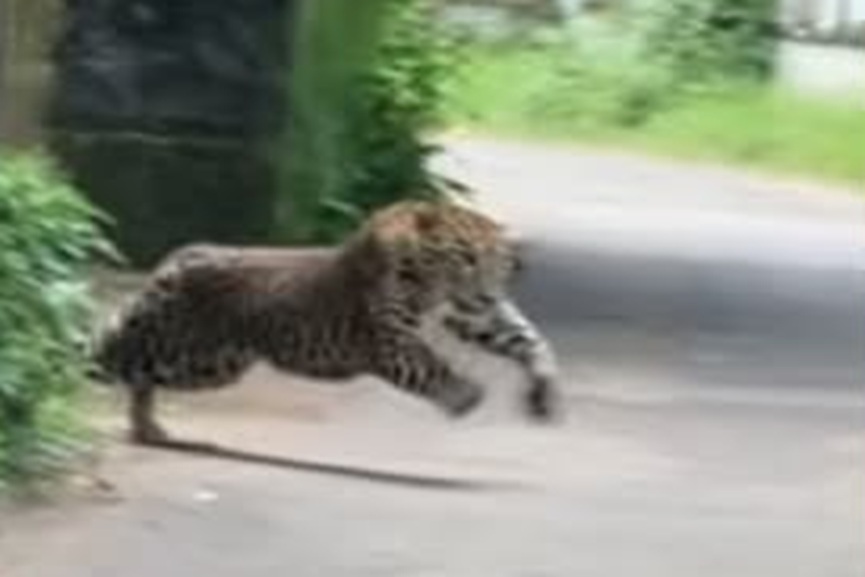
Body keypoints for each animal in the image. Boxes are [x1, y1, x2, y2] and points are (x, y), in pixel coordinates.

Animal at [90, 199, 561, 445]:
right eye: (465, 256)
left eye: (499, 259)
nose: (487, 294)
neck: (431, 282)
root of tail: (175, 257)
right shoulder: (387, 340)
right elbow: (429, 364)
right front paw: (465, 393)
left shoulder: (468, 316)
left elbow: (527, 339)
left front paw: (544, 391)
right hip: (184, 347)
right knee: (112, 350)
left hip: (210, 363)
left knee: (141, 374)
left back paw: (147, 426)